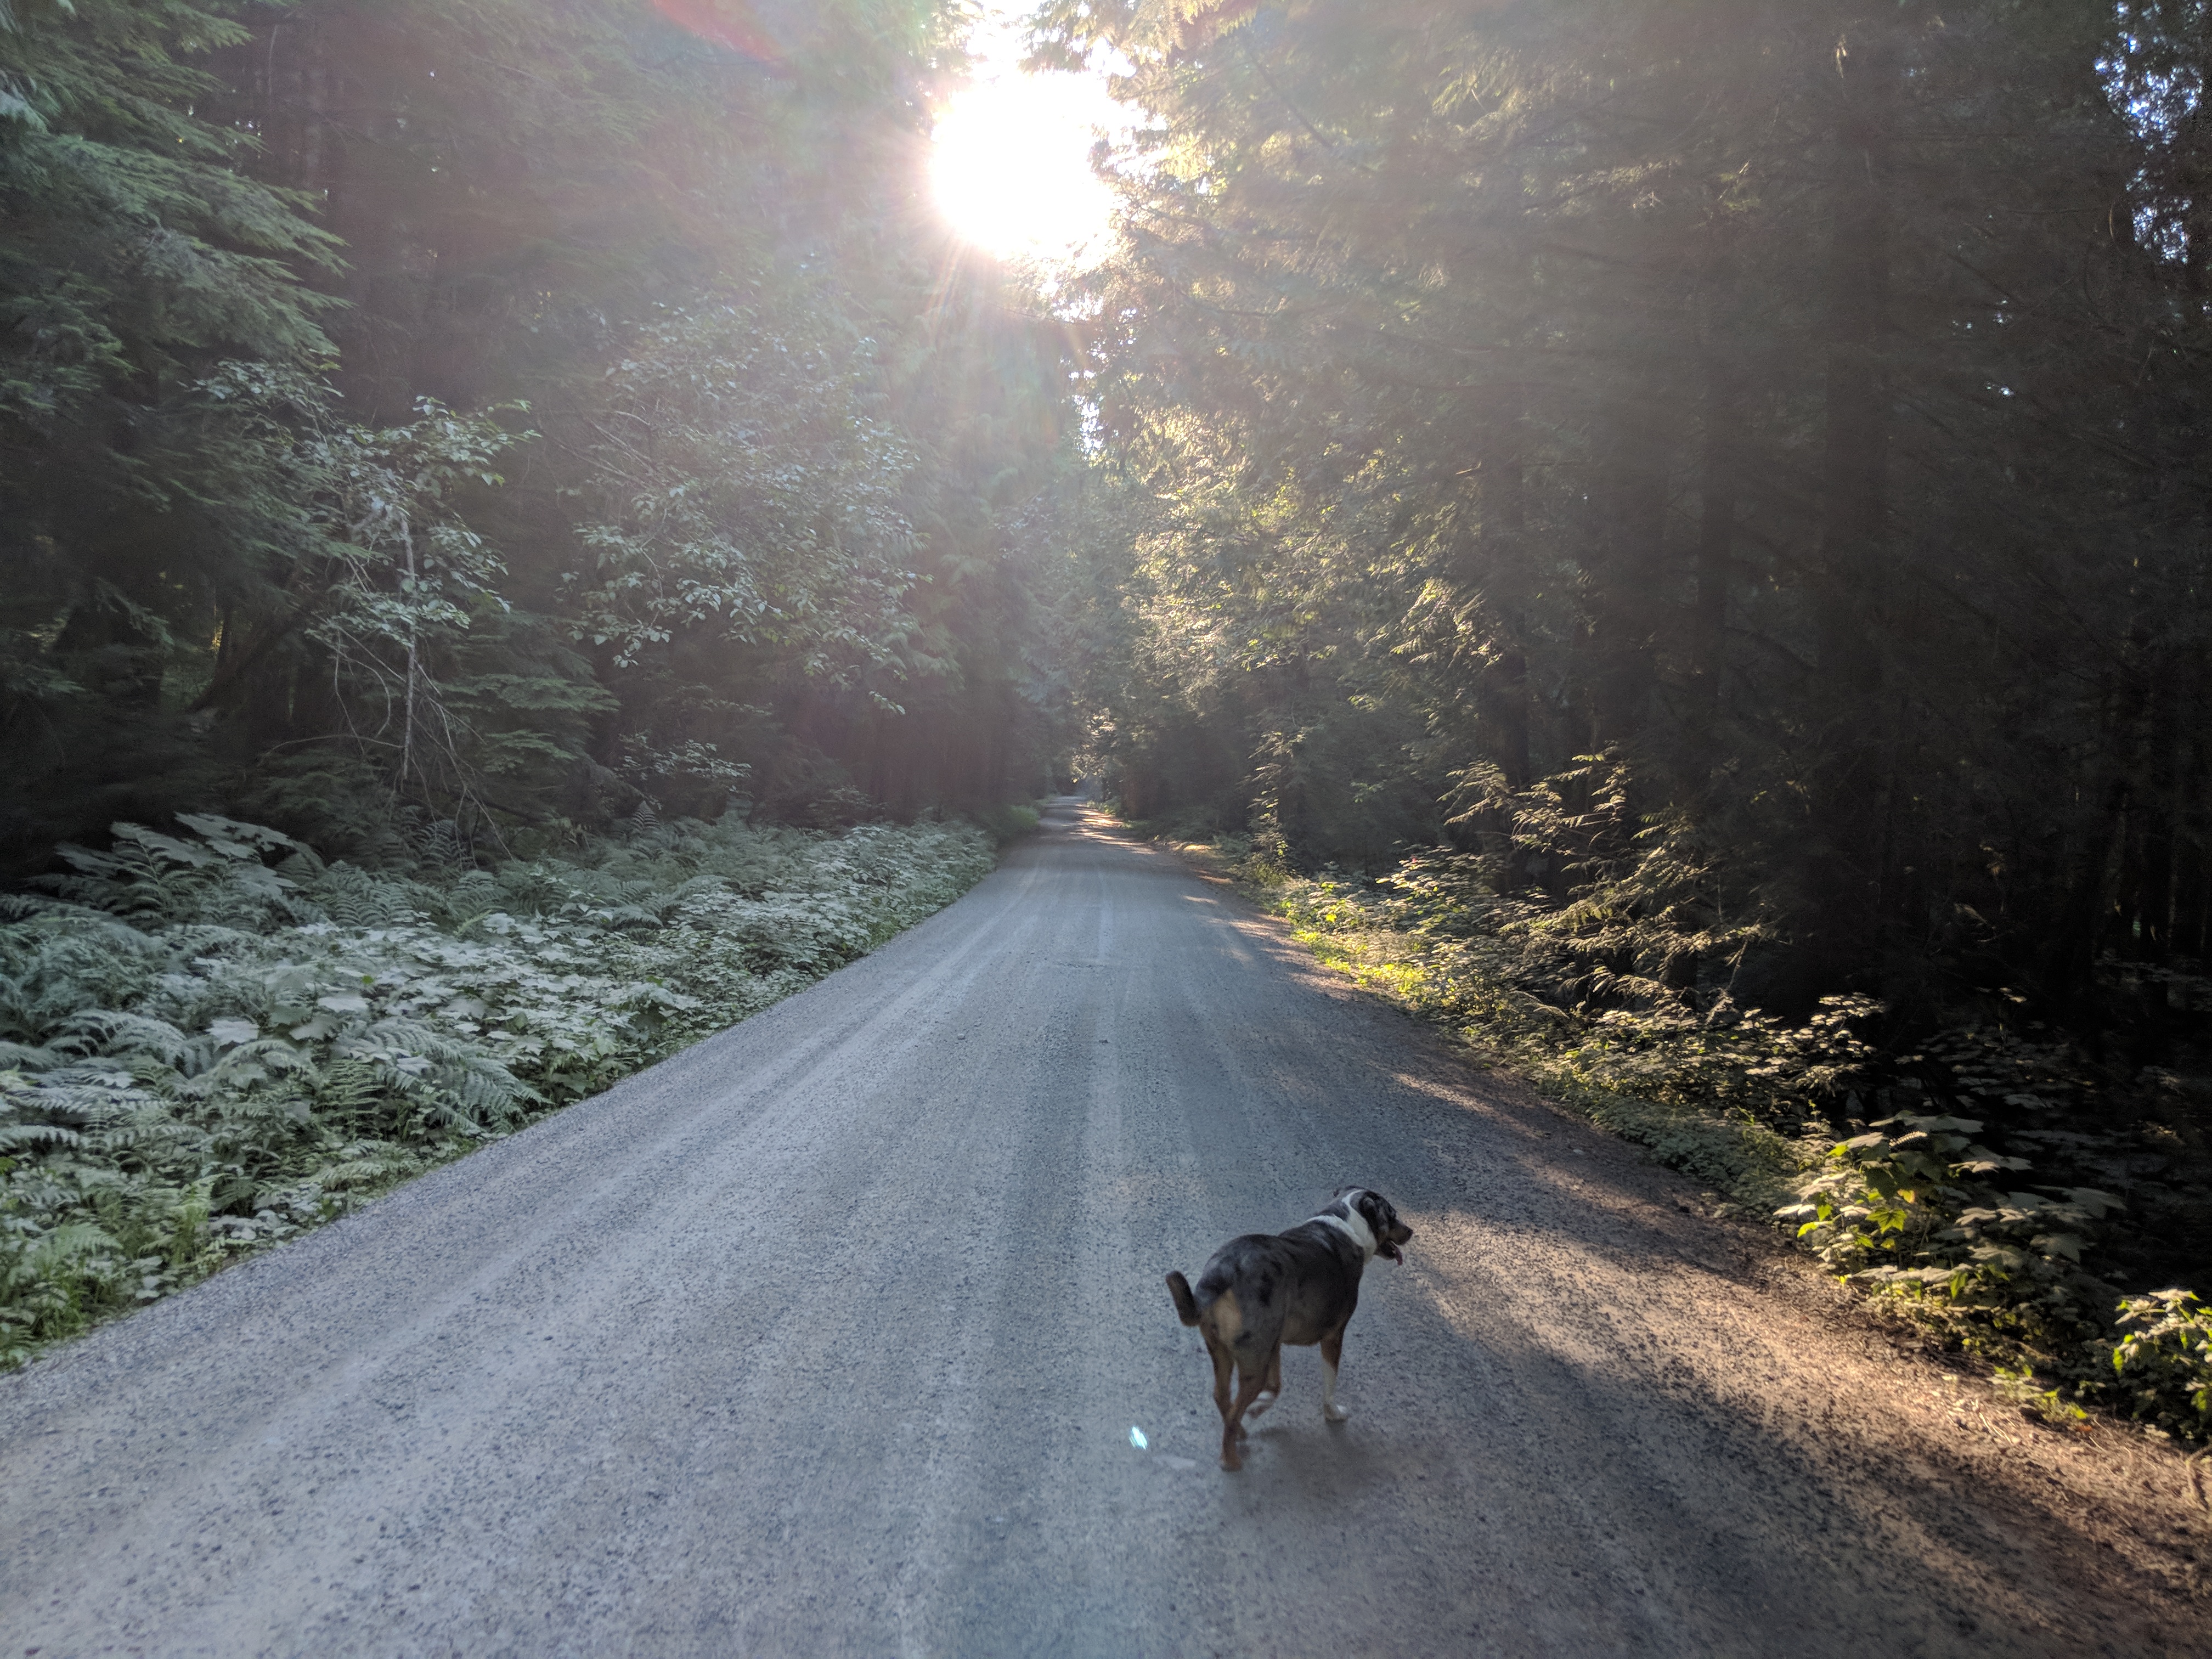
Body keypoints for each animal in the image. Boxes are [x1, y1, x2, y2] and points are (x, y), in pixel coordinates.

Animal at [1159, 1186, 1415, 1477]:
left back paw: (1241, 1431)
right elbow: (1329, 1382)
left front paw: (1259, 1407)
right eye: (1392, 1214)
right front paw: (1333, 1413)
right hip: (1253, 1364)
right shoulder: (1333, 1338)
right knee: (1234, 1410)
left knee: (1223, 1397)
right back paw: (1230, 1459)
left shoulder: (1274, 1343)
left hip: (1227, 1352)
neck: (1348, 1224)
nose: (1411, 1231)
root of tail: (1221, 1275)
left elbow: (1276, 1386)